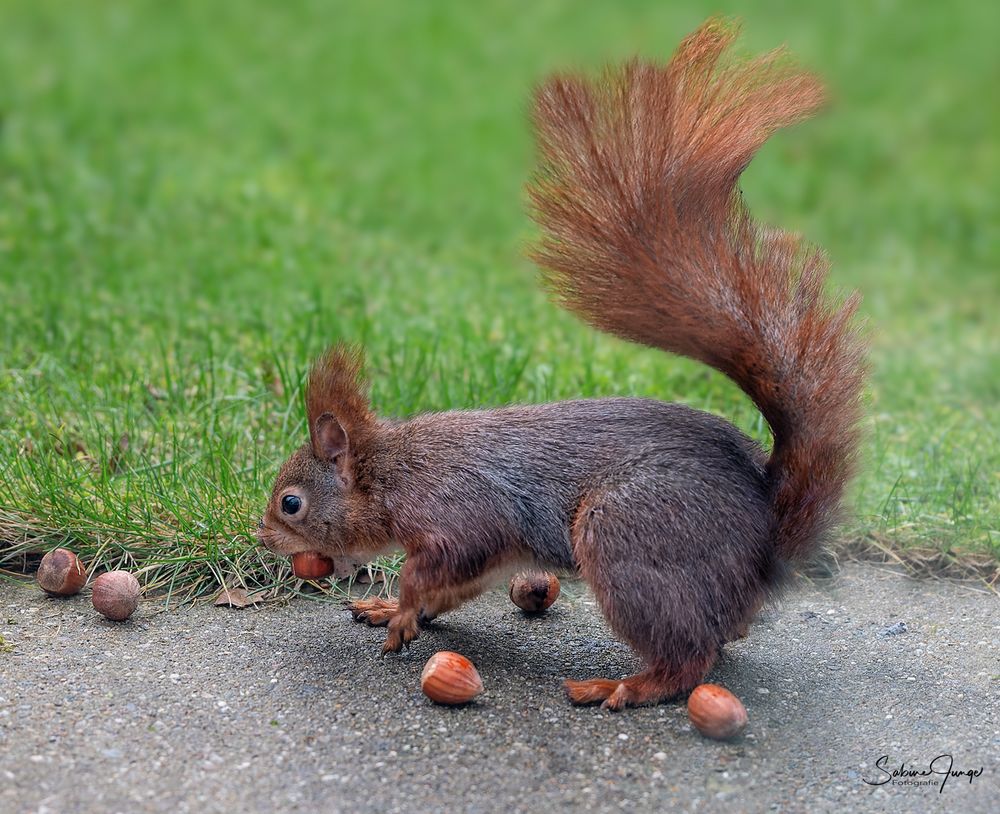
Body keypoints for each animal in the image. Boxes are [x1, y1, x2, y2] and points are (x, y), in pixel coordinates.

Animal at [258, 15, 868, 712]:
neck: (391, 471)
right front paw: (395, 610)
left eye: (292, 503)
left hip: (628, 539)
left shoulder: (458, 513)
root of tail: (764, 547)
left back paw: (625, 685)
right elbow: (453, 587)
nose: (262, 537)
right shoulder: (484, 554)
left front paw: (403, 607)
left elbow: (436, 564)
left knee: (688, 658)